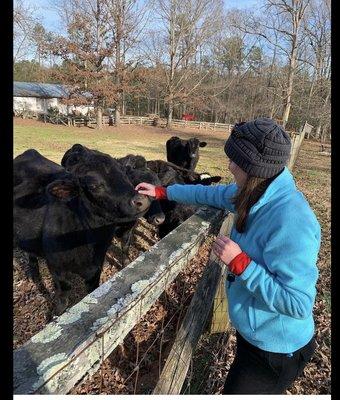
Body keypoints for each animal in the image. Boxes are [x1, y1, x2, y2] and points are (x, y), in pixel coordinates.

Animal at [14, 148, 150, 314]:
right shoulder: (56, 267)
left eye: (124, 174)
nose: (142, 200)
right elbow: (63, 296)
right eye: (93, 185)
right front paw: (57, 315)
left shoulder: (96, 267)